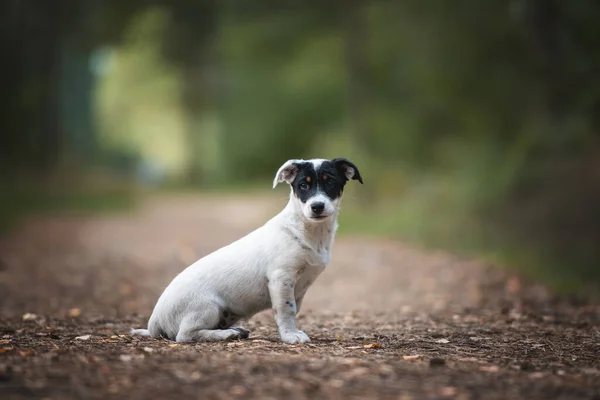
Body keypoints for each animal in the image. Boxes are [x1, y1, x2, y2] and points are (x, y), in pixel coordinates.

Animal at [131, 158, 360, 342]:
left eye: (330, 182)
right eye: (303, 185)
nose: (317, 206)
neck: (308, 231)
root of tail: (154, 322)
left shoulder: (300, 287)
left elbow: (293, 310)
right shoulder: (281, 278)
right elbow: (286, 310)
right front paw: (290, 336)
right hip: (207, 307)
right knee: (185, 335)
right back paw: (226, 334)